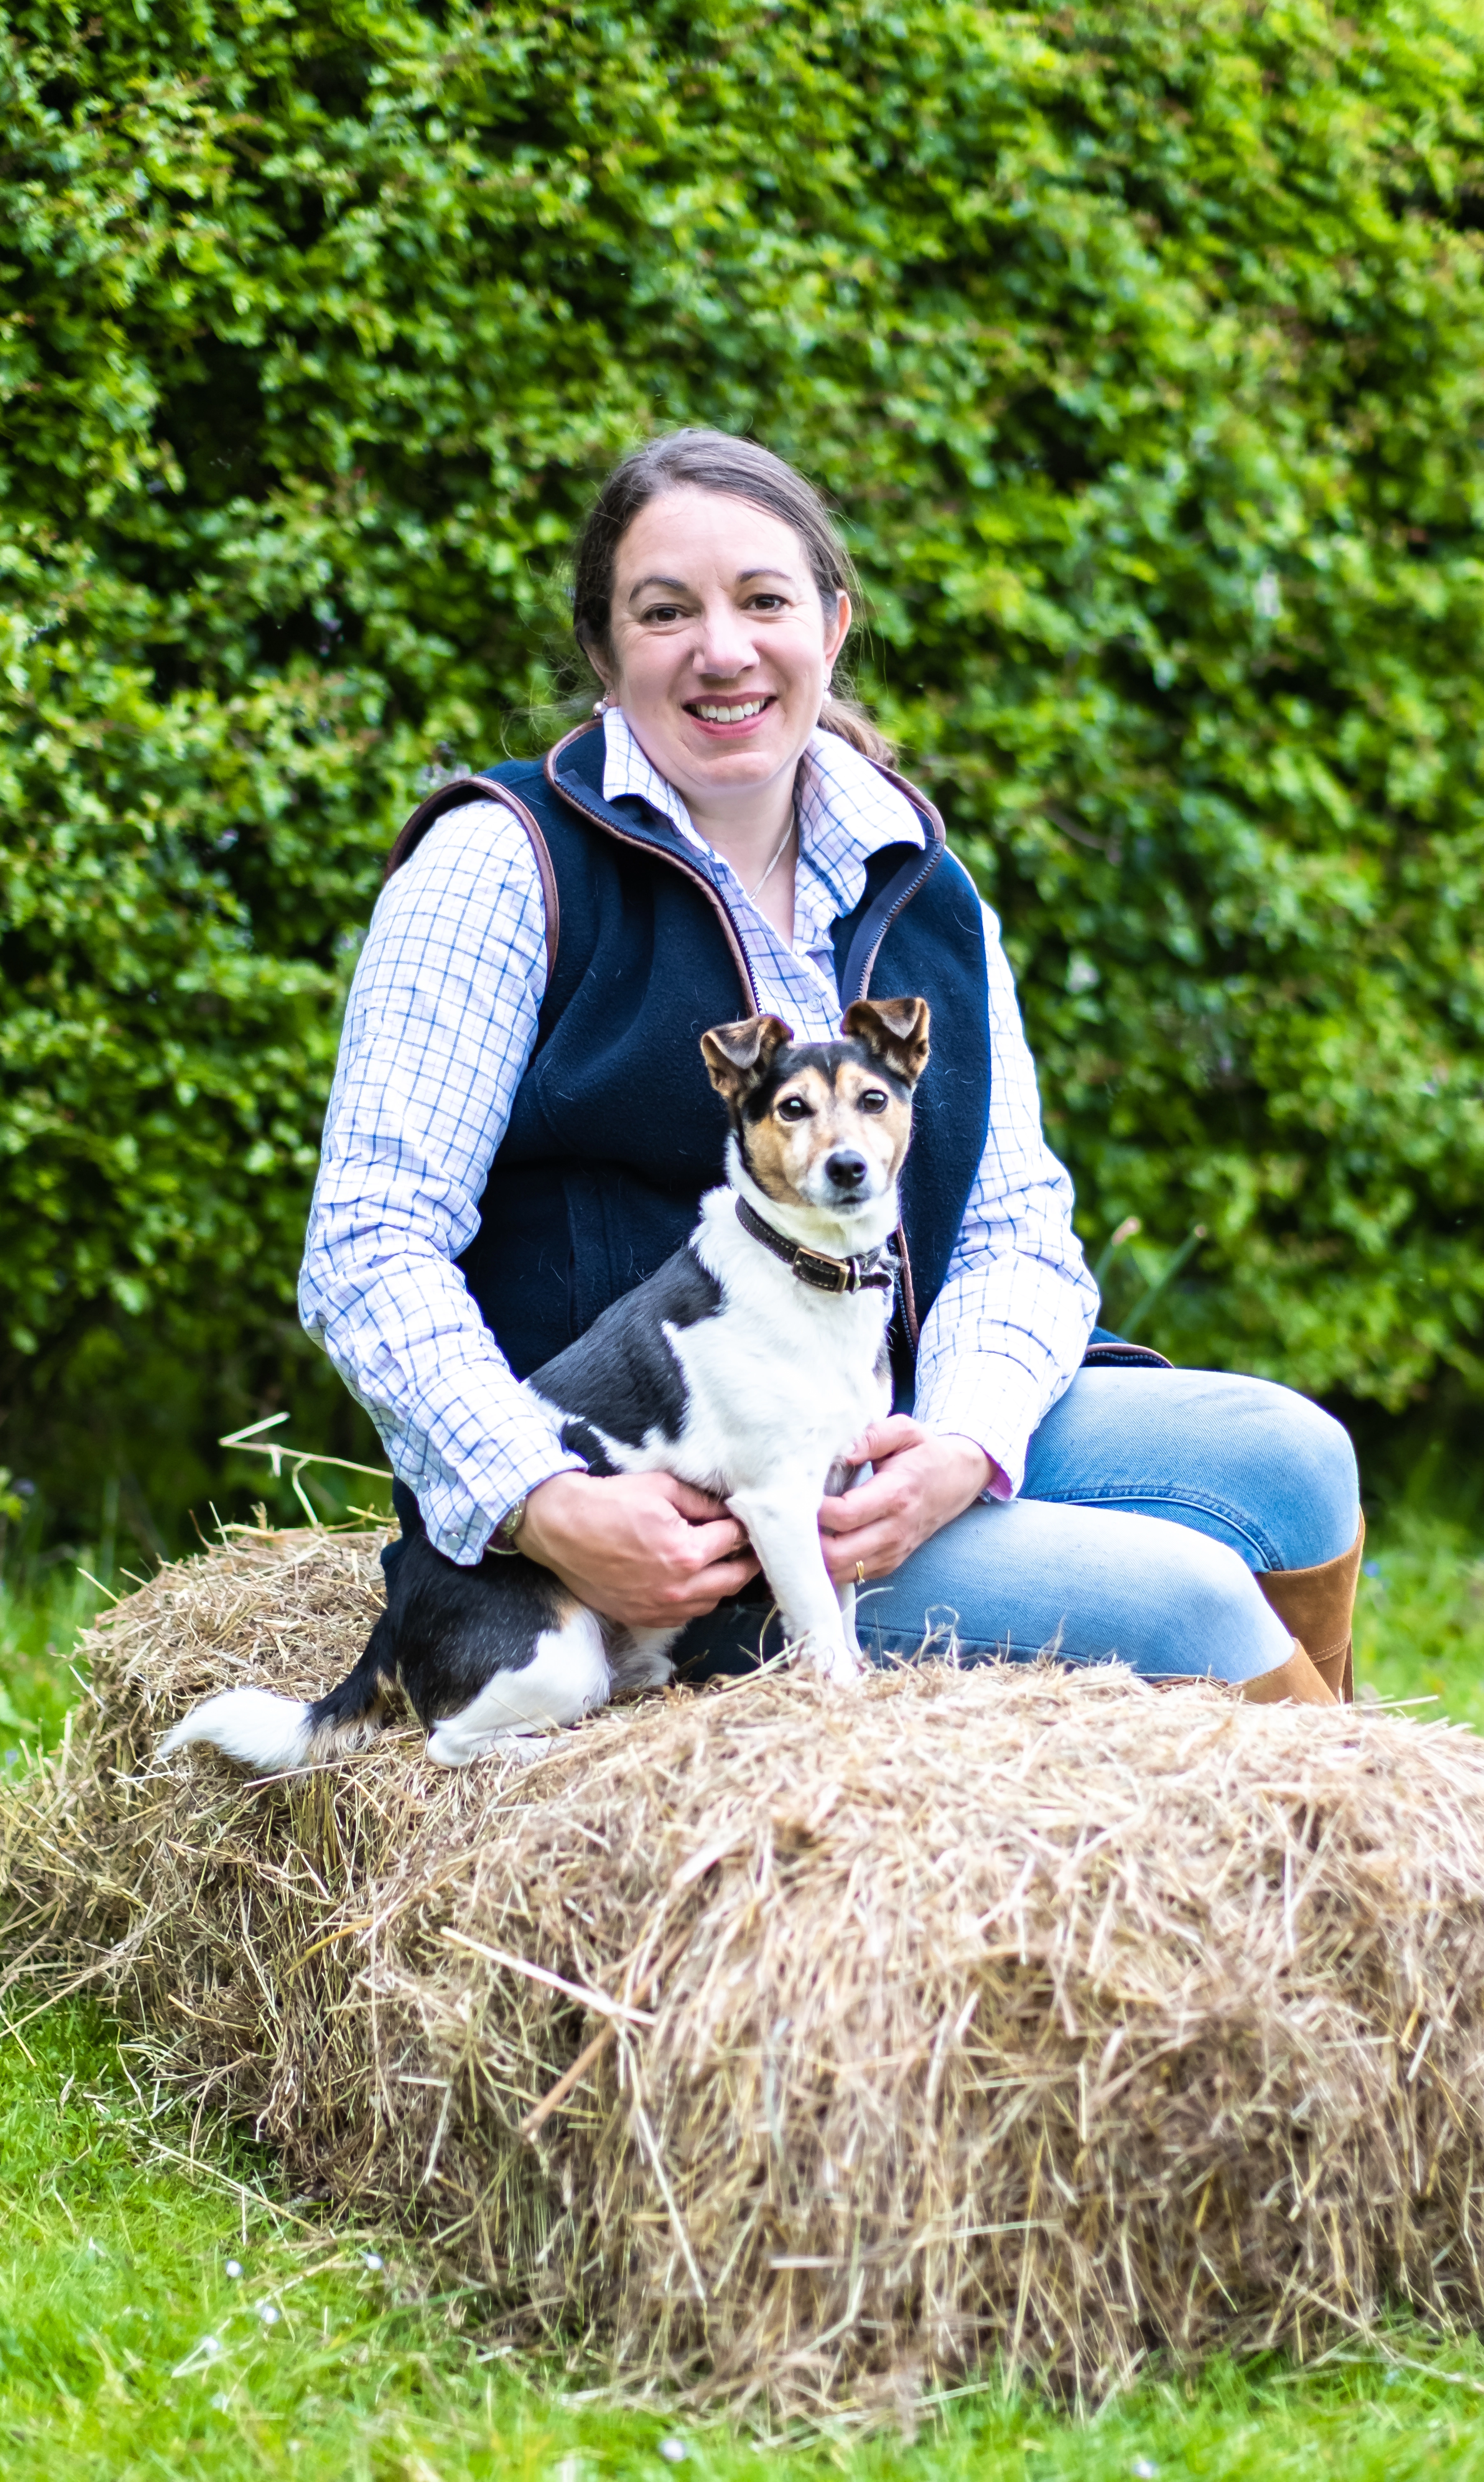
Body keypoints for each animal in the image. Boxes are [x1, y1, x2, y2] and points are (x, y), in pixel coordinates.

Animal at [162, 988, 933, 1767]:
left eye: (873, 1099)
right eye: (792, 1108)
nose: (847, 1167)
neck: (805, 1267)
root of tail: (395, 1615)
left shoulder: (842, 1483)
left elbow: (840, 1605)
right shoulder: (776, 1500)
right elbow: (818, 1616)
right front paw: (840, 1692)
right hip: (561, 1654)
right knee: (449, 1742)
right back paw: (542, 1751)